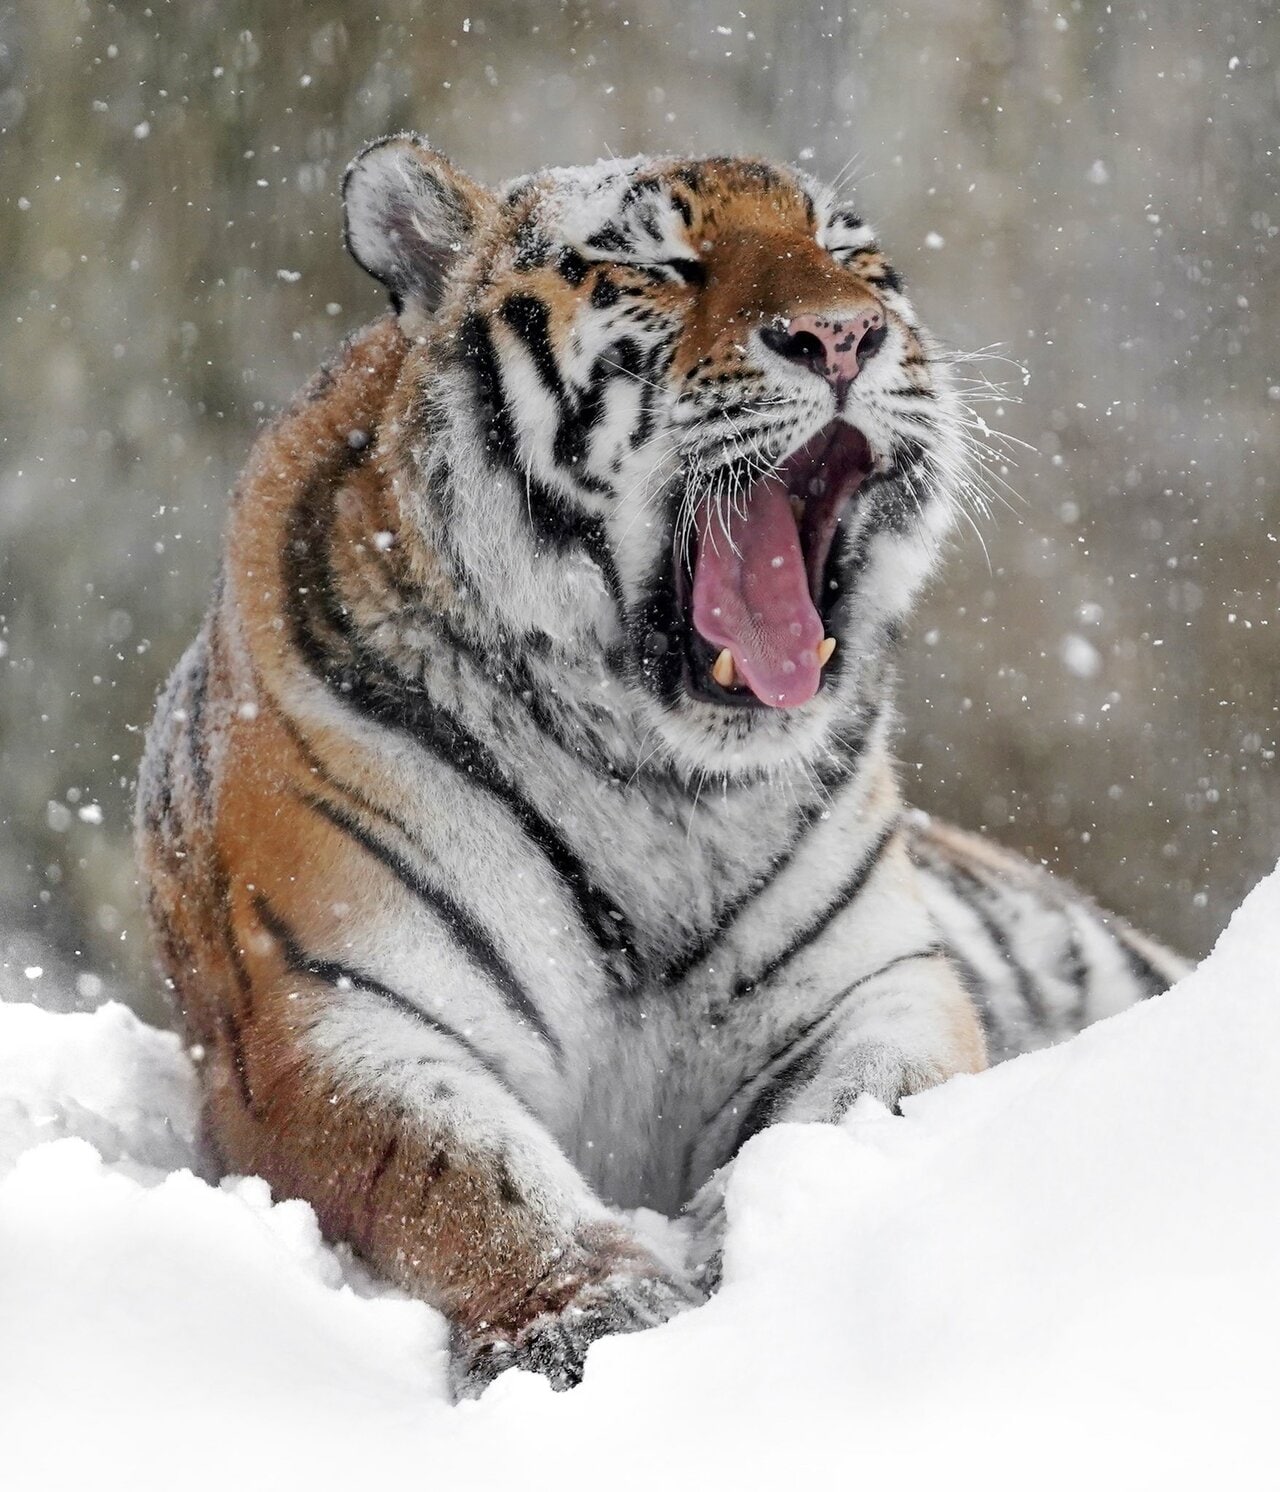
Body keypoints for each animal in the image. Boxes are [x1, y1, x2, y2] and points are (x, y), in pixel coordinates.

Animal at [135, 140, 1181, 1396]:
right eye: (660, 266)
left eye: (846, 252)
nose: (842, 336)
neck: (656, 782)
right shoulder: (328, 1010)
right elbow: (461, 1171)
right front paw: (592, 1317)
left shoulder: (876, 982)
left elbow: (855, 1109)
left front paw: (780, 1237)